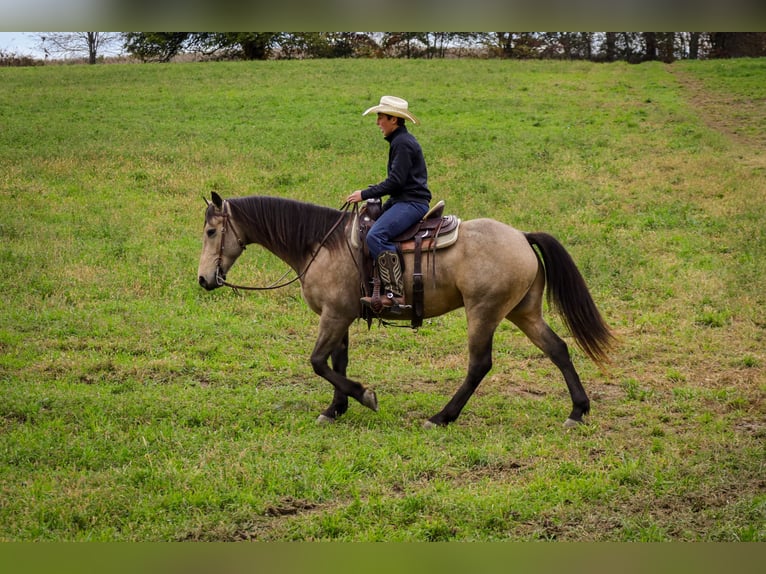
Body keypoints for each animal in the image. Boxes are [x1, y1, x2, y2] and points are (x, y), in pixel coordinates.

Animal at [197, 192, 615, 428]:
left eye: (211, 232)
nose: (203, 279)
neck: (322, 244)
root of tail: (522, 237)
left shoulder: (334, 314)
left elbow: (318, 362)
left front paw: (364, 396)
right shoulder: (343, 315)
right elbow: (338, 363)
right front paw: (336, 409)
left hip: (483, 312)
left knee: (479, 364)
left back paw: (442, 417)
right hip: (524, 312)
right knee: (558, 349)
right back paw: (577, 411)